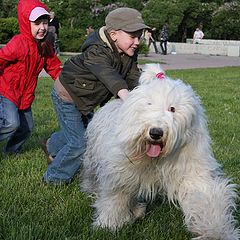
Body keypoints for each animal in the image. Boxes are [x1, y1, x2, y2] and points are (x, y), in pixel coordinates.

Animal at [80, 63, 238, 240]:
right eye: (148, 104)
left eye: (172, 109)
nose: (156, 132)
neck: (155, 159)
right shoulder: (120, 172)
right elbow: (115, 198)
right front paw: (108, 224)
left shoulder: (192, 167)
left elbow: (204, 195)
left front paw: (217, 230)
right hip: (93, 157)